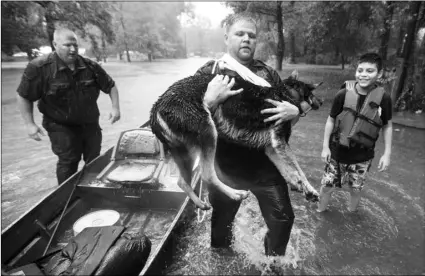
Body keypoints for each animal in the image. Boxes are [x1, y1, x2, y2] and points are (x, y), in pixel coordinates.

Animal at [149, 70, 322, 210]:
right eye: (313, 93)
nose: (322, 102)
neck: (285, 93)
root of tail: (156, 107)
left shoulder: (272, 148)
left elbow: (287, 169)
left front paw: (301, 186)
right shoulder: (279, 142)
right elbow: (297, 168)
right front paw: (308, 188)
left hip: (185, 152)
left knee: (183, 182)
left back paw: (200, 203)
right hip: (208, 132)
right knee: (207, 175)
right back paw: (235, 194)